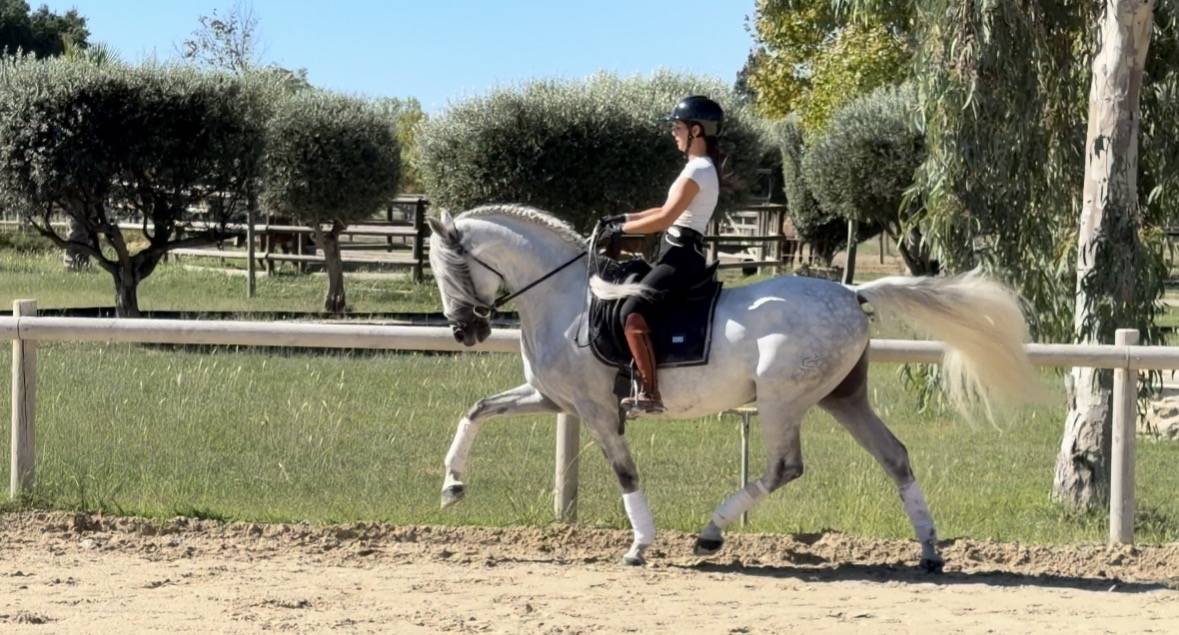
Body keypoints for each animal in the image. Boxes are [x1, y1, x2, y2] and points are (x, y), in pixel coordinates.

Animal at [426, 204, 1041, 571]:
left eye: (451, 269)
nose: (465, 331)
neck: (568, 303)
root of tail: (851, 294)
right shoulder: (554, 399)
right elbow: (476, 410)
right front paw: (453, 486)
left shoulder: (598, 411)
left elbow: (626, 473)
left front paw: (639, 544)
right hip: (842, 398)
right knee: (895, 456)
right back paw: (930, 551)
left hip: (782, 400)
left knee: (785, 467)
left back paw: (711, 532)